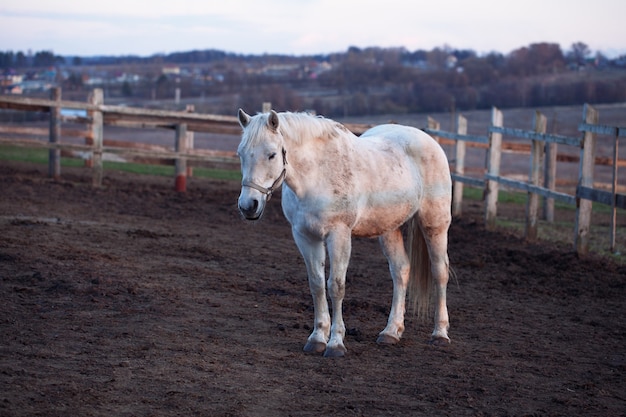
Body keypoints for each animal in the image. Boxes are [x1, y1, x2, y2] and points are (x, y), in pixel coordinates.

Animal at [235, 109, 448, 356]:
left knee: (439, 272)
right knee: (400, 270)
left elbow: (336, 286)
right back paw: (391, 332)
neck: (317, 175)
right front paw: (317, 338)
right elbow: (317, 284)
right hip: (389, 229)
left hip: (435, 224)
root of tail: (428, 140)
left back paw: (440, 334)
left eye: (271, 155)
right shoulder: (305, 237)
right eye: (241, 153)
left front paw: (336, 343)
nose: (248, 206)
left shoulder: (339, 235)